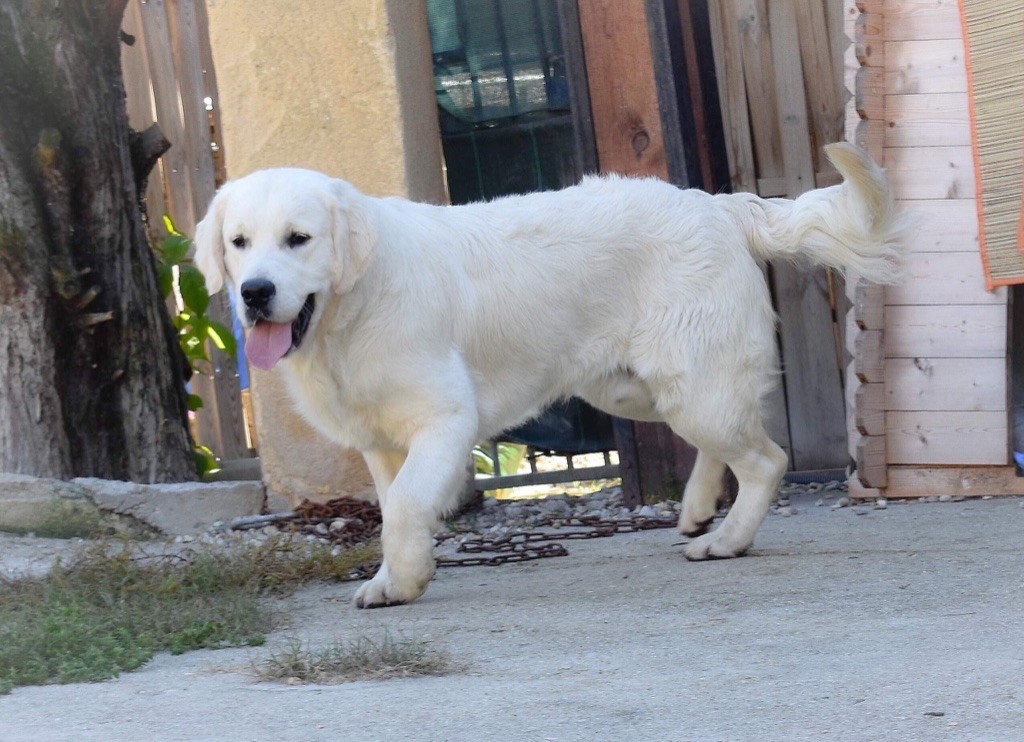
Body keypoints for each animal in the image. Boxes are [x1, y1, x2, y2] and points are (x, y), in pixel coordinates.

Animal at [195, 143, 901, 605]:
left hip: (690, 385)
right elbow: (398, 507)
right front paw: (394, 579)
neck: (350, 311)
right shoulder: (381, 440)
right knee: (728, 445)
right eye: (239, 243)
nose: (255, 292)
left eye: (299, 238)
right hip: (641, 387)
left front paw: (405, 578)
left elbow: (406, 505)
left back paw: (726, 540)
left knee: (764, 459)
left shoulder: (446, 420)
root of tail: (719, 206)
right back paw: (699, 510)